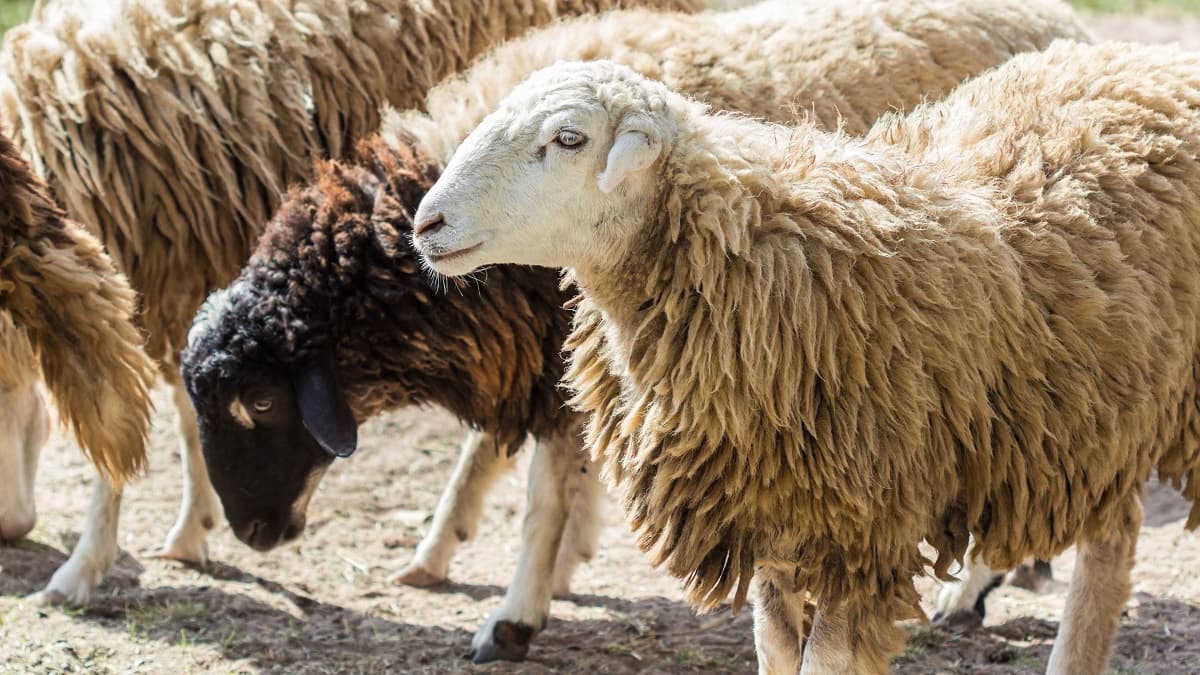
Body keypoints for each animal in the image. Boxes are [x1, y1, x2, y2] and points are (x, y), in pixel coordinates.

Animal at [182, 0, 1091, 662]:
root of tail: (1069, 24)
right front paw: (483, 560)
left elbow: (541, 500)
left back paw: (971, 590)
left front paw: (513, 614)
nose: (253, 534)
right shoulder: (563, 358)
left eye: (259, 403)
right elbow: (519, 470)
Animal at [411, 43, 1200, 674]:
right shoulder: (772, 510)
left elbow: (826, 659)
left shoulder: (863, 525)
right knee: (1109, 531)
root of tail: (1149, 56)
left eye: (568, 138)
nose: (427, 223)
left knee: (1109, 550)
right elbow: (775, 649)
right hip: (1088, 409)